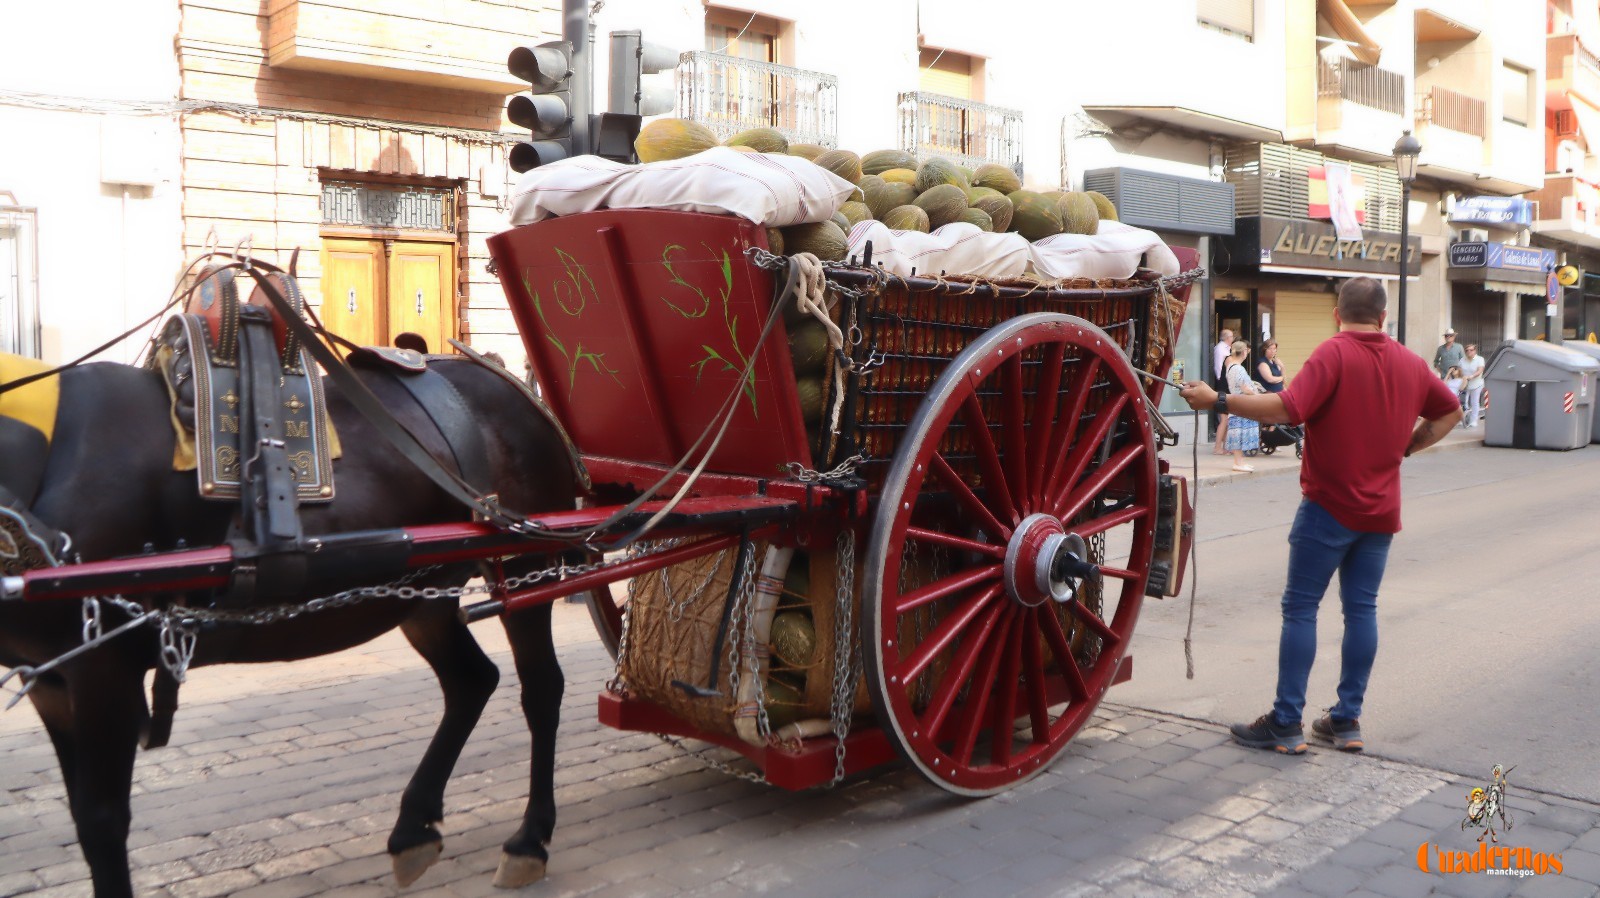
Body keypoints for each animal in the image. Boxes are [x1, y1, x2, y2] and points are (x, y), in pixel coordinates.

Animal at [0, 352, 588, 896]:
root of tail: (504, 380)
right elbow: (83, 816)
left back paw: (530, 838)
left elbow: (102, 821)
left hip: (527, 562)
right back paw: (412, 827)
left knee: (541, 689)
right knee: (470, 681)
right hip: (424, 590)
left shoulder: (102, 669)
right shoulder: (48, 677)